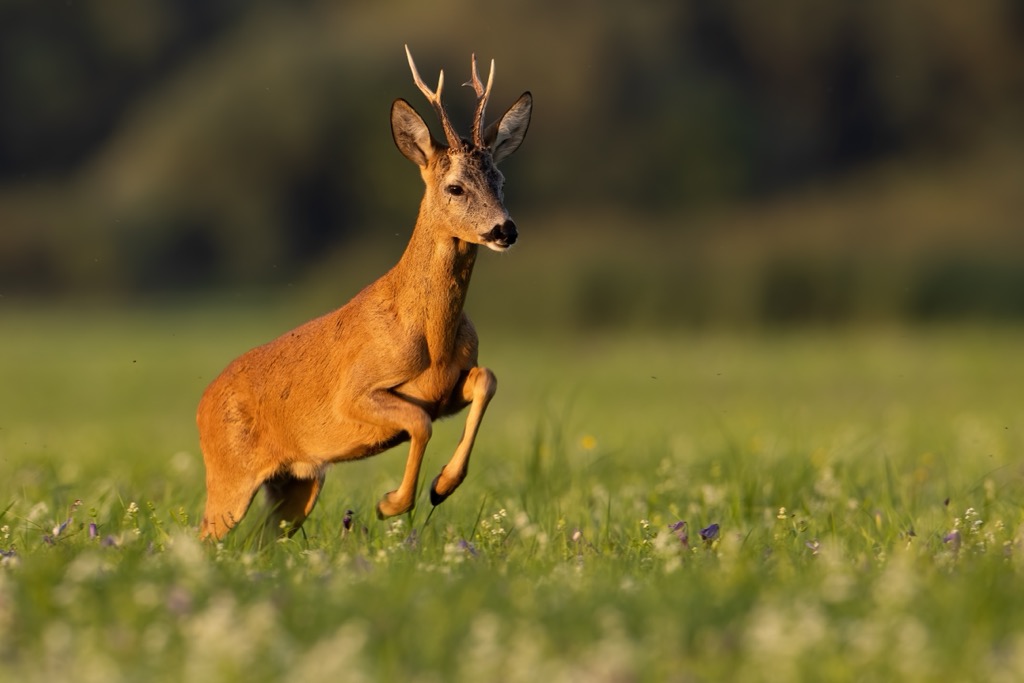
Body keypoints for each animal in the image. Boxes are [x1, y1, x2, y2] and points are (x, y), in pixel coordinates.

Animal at [195, 46, 532, 540]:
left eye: (501, 182)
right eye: (455, 186)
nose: (504, 230)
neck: (430, 335)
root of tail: (202, 405)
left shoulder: (448, 390)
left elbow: (486, 379)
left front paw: (443, 485)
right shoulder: (355, 394)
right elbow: (419, 422)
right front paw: (392, 503)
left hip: (298, 483)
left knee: (261, 540)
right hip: (230, 478)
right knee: (201, 536)